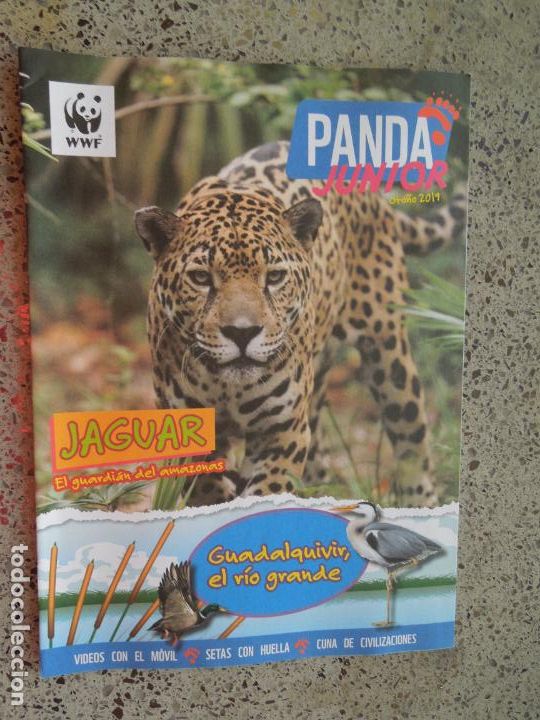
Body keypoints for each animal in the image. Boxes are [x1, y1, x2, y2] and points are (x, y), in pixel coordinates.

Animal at [135, 141, 466, 508]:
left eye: (275, 277)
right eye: (201, 278)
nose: (242, 333)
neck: (228, 388)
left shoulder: (283, 429)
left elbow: (266, 492)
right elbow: (206, 485)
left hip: (387, 349)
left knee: (411, 435)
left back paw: (420, 502)